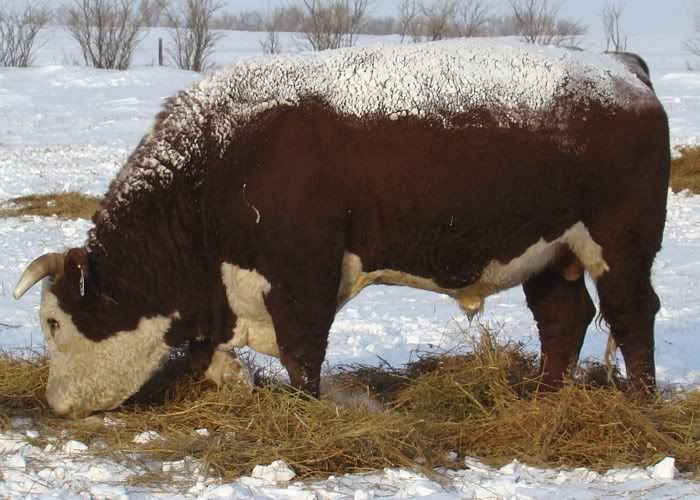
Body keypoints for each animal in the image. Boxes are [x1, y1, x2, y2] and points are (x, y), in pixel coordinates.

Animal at [13, 39, 670, 418]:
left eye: (53, 322)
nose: (55, 404)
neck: (217, 159)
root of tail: (621, 68)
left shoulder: (302, 276)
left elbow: (303, 351)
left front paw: (302, 411)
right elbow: (212, 356)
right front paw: (237, 382)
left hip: (621, 244)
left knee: (632, 314)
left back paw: (641, 403)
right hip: (551, 253)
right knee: (565, 319)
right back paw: (544, 397)